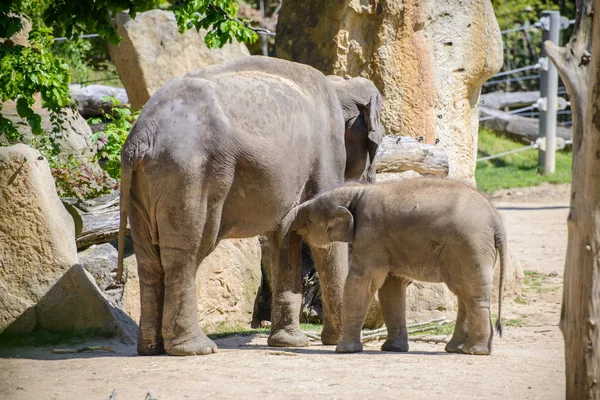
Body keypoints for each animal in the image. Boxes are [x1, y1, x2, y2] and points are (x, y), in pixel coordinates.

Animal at [116, 54, 384, 356]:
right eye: (378, 143)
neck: (338, 83)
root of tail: (140, 137)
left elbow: (285, 235)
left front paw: (289, 343)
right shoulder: (326, 151)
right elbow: (322, 242)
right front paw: (338, 342)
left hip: (144, 185)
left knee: (148, 259)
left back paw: (152, 349)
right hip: (188, 174)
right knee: (186, 252)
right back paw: (196, 349)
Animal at [278, 178, 504, 356]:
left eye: (308, 216)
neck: (358, 191)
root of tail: (496, 220)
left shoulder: (372, 233)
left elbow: (363, 282)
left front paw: (343, 350)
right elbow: (391, 289)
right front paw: (392, 349)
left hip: (469, 247)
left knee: (472, 295)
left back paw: (475, 351)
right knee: (464, 294)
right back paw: (457, 349)